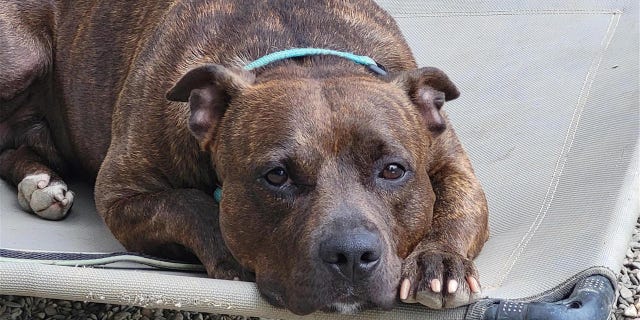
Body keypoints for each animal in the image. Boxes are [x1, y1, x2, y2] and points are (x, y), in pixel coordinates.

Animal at [1, 0, 490, 316]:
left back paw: (40, 181)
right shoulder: (121, 193)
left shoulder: (452, 163)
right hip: (21, 58)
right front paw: (226, 251)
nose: (352, 254)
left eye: (393, 170)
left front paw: (438, 262)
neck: (302, 52)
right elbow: (189, 202)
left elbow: (458, 207)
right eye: (276, 176)